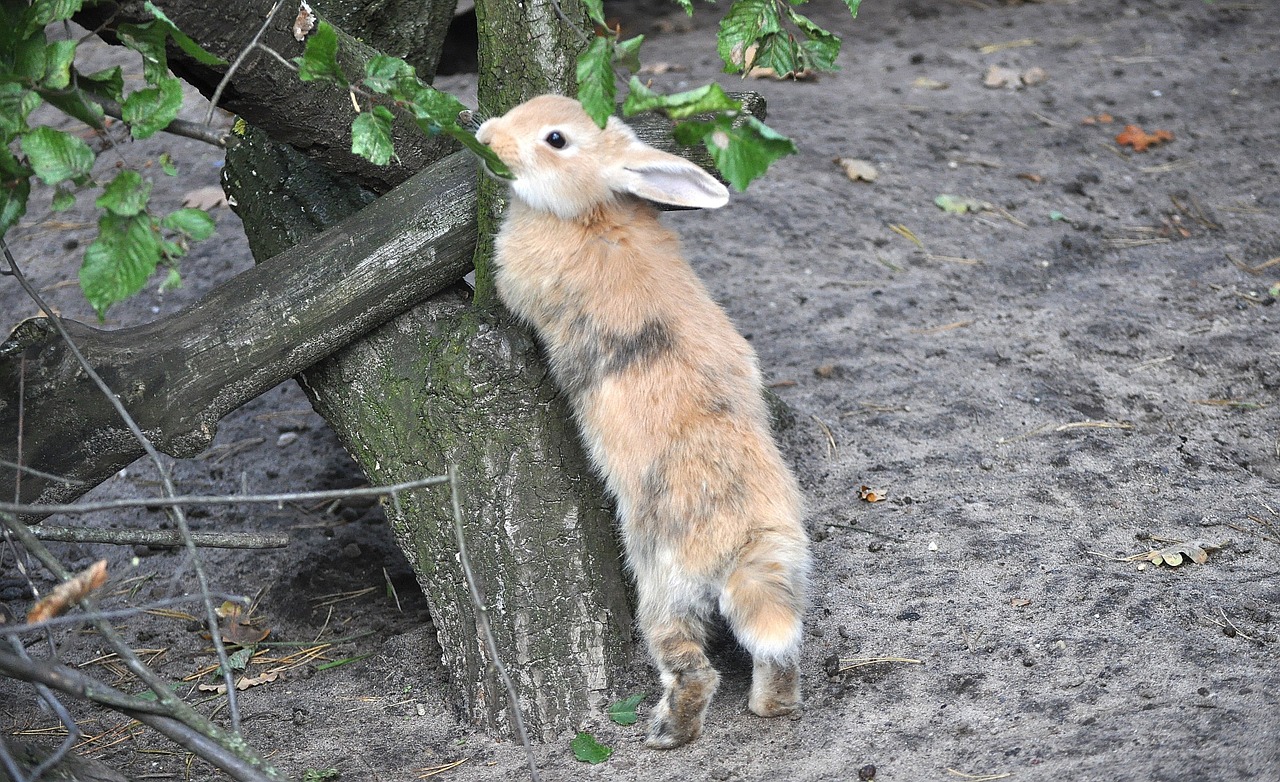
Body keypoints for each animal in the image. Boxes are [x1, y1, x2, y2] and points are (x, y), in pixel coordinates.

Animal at [475, 94, 810, 749]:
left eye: (556, 138)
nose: (487, 135)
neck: (593, 211)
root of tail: (746, 535)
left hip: (662, 585)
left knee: (694, 669)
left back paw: (666, 733)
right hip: (782, 572)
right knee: (778, 649)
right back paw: (770, 708)